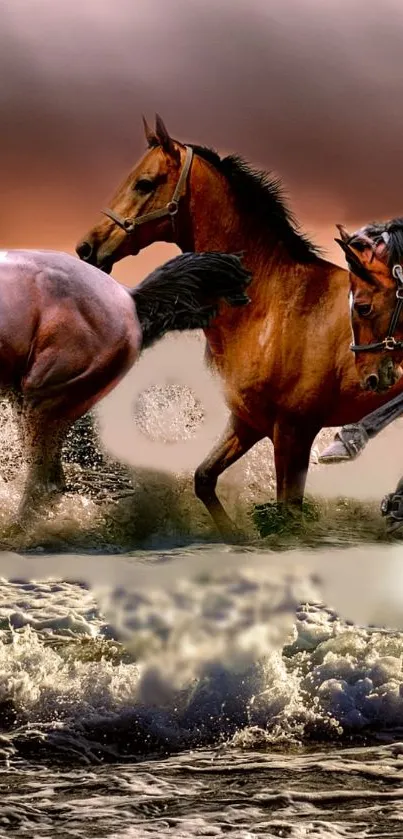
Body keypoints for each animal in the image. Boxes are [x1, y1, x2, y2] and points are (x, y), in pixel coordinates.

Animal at [75, 113, 403, 538]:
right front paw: (233, 535)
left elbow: (288, 515)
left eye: (144, 183)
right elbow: (203, 479)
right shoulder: (248, 422)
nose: (87, 248)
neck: (273, 307)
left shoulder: (293, 431)